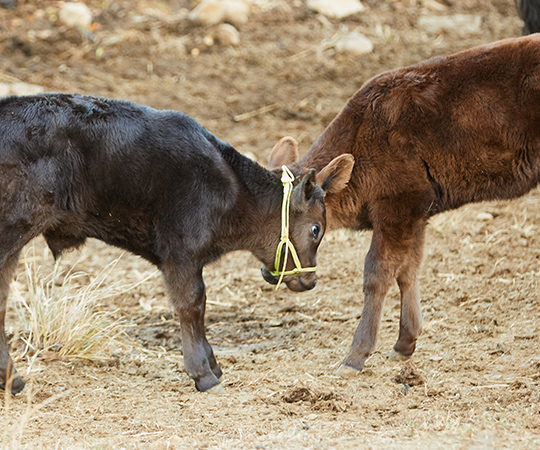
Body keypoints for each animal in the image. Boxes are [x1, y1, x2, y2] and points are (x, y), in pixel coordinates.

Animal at [272, 33, 540, 374]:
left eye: (314, 228)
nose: (274, 274)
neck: (362, 135)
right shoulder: (417, 214)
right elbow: (408, 270)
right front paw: (404, 344)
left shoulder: (398, 206)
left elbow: (377, 272)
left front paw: (354, 356)